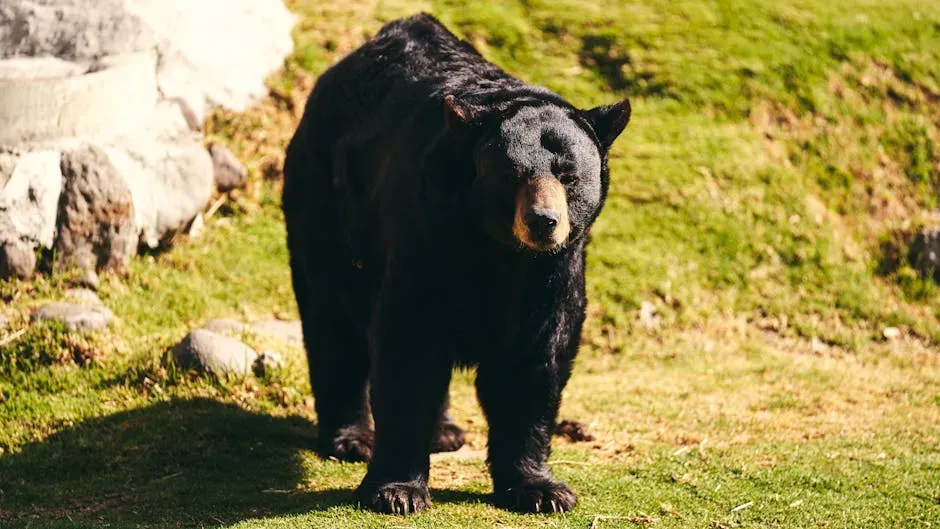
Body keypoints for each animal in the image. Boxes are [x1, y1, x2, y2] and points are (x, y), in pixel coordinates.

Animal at [282, 13, 630, 515]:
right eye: (512, 174)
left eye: (568, 175)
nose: (543, 222)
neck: (498, 250)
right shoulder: (430, 234)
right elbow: (409, 343)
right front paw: (397, 490)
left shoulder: (552, 272)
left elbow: (534, 358)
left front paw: (541, 489)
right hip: (327, 202)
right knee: (334, 317)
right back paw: (353, 437)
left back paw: (444, 431)